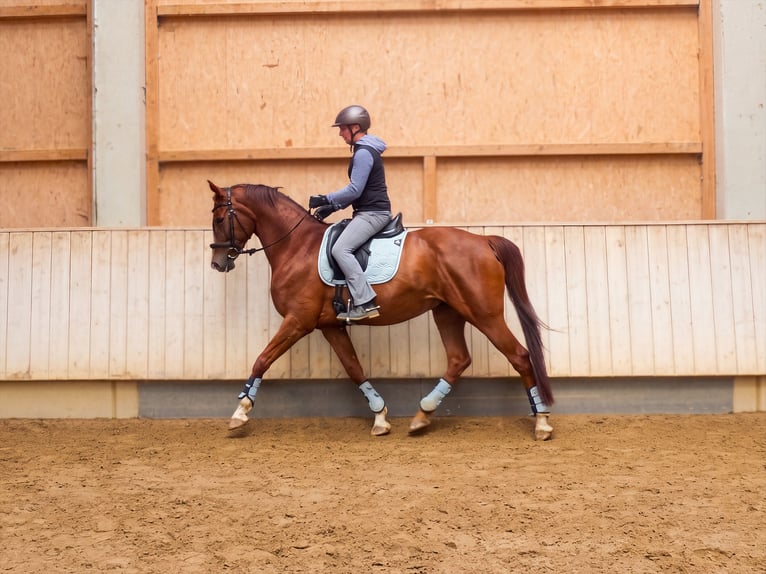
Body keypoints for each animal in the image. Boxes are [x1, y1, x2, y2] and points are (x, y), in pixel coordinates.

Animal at [207, 181, 555, 440]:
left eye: (219, 219)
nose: (218, 263)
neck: (297, 246)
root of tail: (484, 241)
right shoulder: (330, 326)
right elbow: (354, 368)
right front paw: (380, 417)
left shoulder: (298, 321)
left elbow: (262, 359)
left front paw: (240, 412)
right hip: (447, 311)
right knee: (459, 359)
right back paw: (422, 415)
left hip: (483, 314)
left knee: (519, 356)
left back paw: (542, 422)